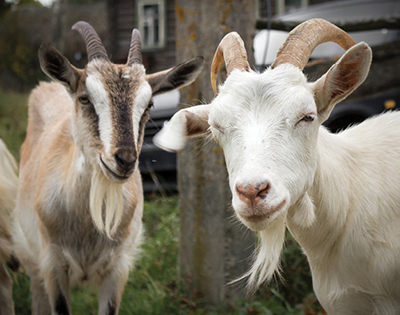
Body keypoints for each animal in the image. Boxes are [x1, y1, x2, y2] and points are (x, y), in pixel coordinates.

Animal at [12, 21, 203, 314]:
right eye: (85, 98)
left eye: (149, 104)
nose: (124, 160)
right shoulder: (52, 263)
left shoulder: (117, 268)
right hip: (31, 259)